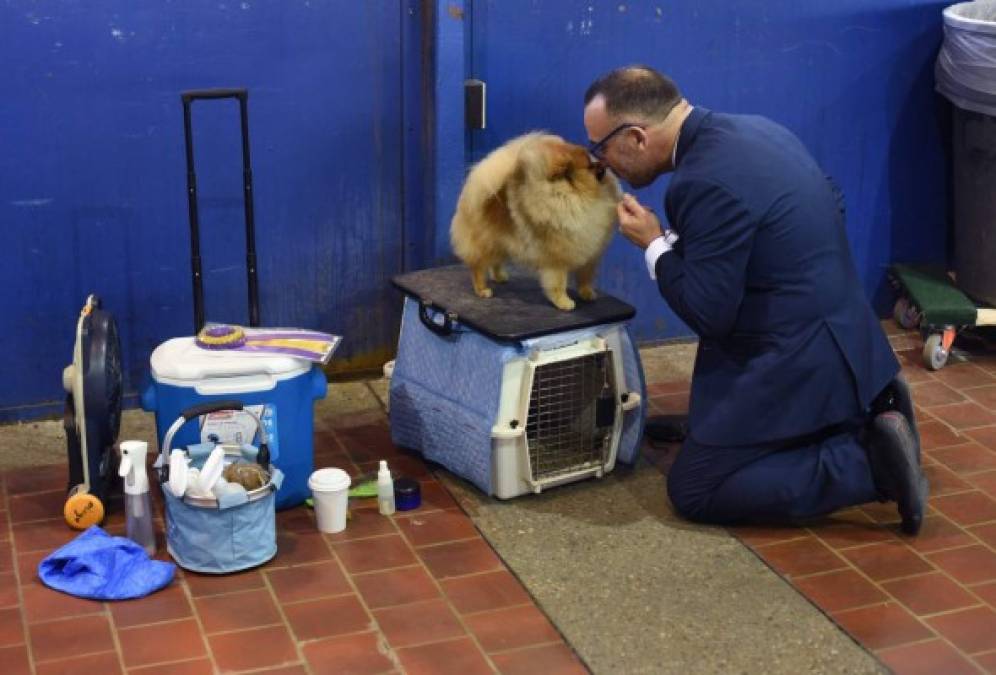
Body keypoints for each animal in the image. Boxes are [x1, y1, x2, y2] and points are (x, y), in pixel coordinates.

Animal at [450, 132, 620, 312]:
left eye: (593, 161)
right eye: (590, 166)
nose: (603, 162)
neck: (578, 195)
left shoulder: (589, 254)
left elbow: (585, 277)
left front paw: (587, 293)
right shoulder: (557, 258)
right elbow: (559, 283)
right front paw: (563, 301)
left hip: (501, 243)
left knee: (495, 262)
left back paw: (499, 276)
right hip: (486, 243)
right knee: (478, 266)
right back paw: (482, 289)